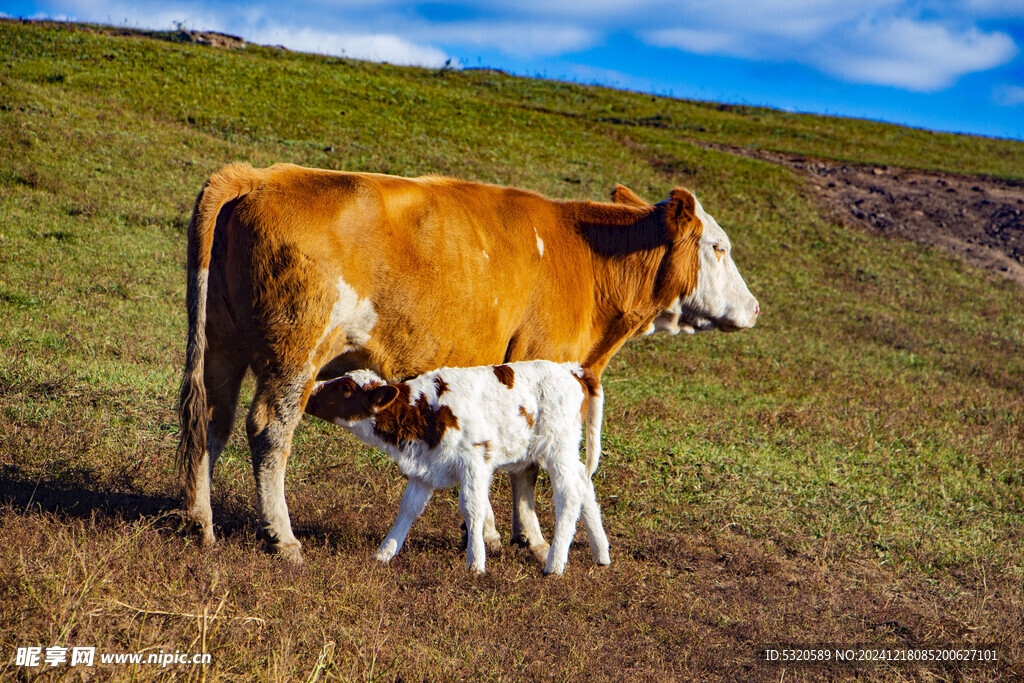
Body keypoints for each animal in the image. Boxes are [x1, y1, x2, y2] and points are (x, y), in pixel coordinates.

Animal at [303, 360, 606, 573]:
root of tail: (572, 369)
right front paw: (385, 552)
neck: (423, 410)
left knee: (569, 495)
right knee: (584, 484)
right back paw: (601, 553)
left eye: (345, 388)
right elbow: (408, 508)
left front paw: (476, 562)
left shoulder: (475, 461)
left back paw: (555, 563)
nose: (311, 391)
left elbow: (473, 508)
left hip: (558, 448)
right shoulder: (424, 469)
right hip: (565, 451)